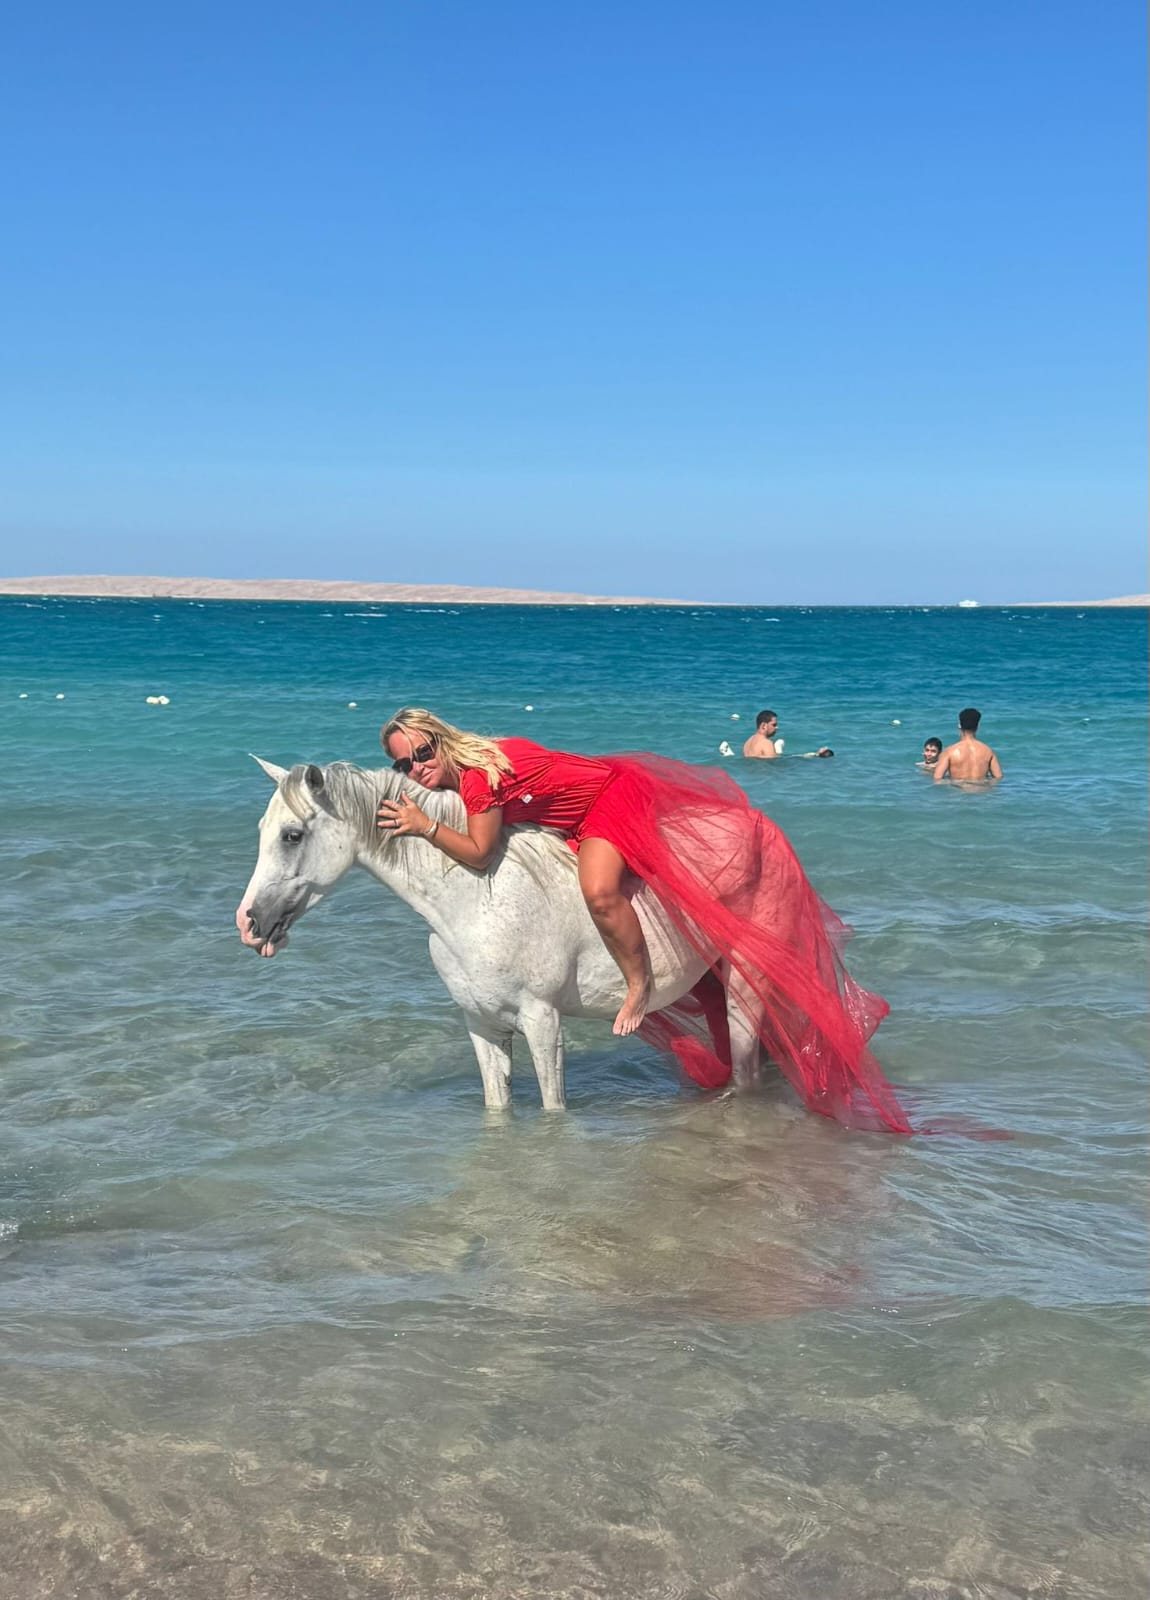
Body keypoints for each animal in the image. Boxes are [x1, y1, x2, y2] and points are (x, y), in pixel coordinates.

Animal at [236, 759, 762, 1109]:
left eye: (292, 835)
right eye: (261, 828)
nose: (249, 923)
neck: (474, 901)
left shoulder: (543, 1021)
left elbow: (553, 1110)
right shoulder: (482, 1024)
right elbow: (497, 1109)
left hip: (744, 986)